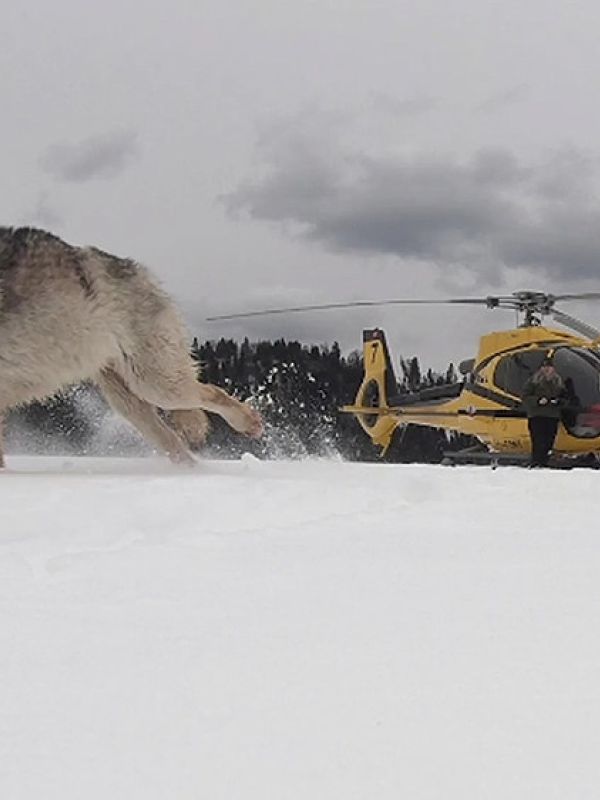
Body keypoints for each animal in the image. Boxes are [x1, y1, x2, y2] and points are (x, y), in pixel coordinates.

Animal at [0, 226, 263, 467]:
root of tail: (138, 269)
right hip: (128, 402)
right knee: (174, 443)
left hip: (156, 385)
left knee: (211, 392)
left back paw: (249, 424)